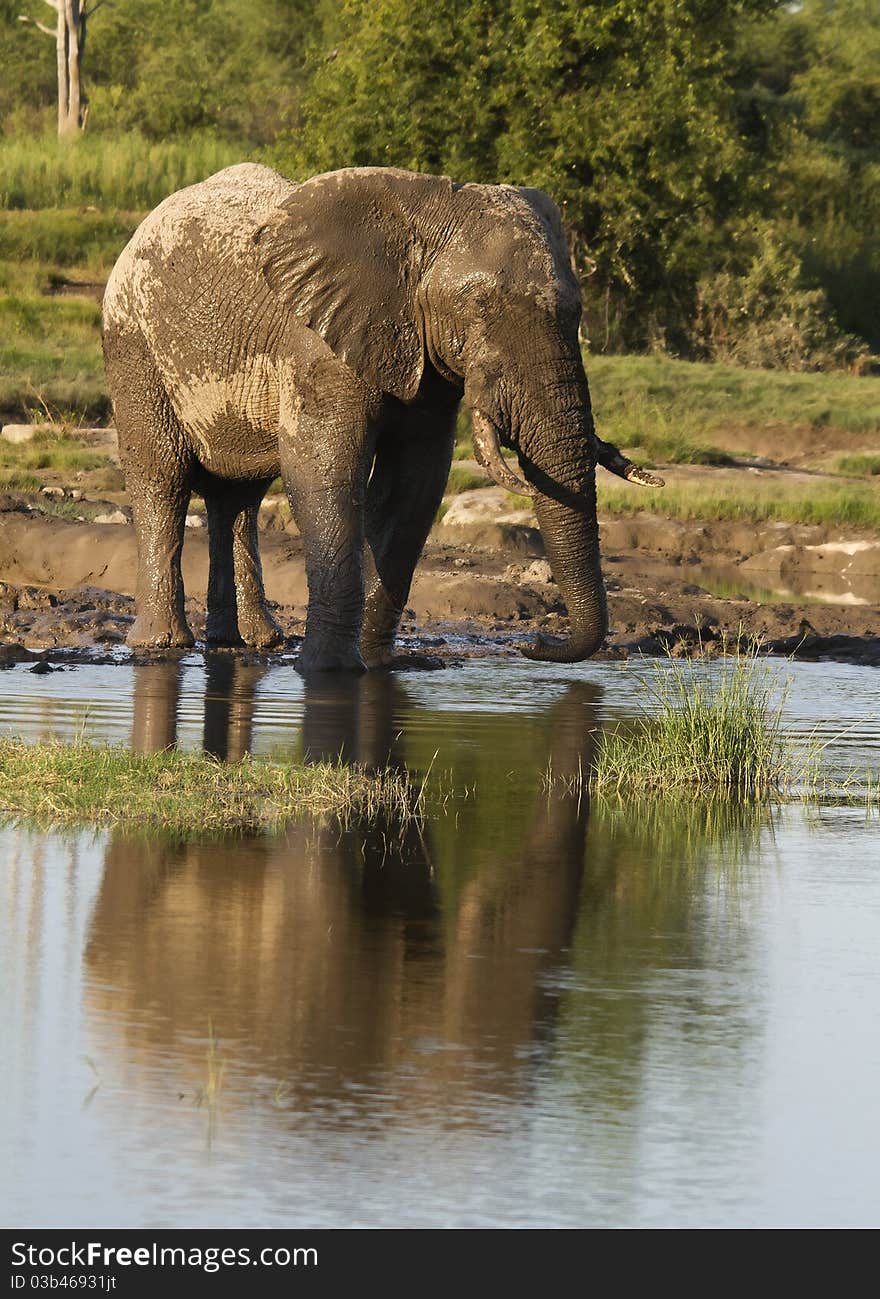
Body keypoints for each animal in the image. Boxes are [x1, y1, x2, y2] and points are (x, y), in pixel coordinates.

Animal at [101, 162, 660, 670]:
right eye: (480, 305)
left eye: (578, 312)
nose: (536, 644)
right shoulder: (317, 344)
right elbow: (324, 471)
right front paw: (328, 669)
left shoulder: (424, 359)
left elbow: (412, 485)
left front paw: (373, 663)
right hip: (133, 344)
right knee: (163, 480)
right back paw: (163, 644)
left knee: (238, 497)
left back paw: (249, 642)